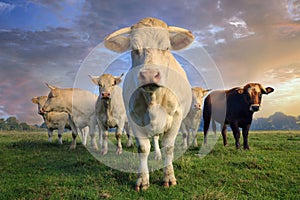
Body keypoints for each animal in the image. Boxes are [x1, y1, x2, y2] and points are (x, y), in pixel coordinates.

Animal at [103, 17, 195, 191]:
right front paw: (142, 180)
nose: (150, 75)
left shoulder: (177, 116)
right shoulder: (133, 117)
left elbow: (168, 147)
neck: (153, 98)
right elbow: (143, 148)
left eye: (166, 47)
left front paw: (169, 177)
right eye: (134, 48)